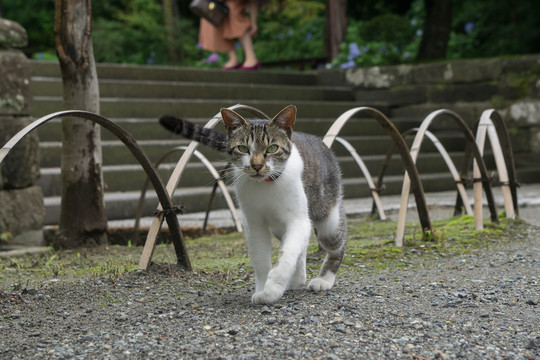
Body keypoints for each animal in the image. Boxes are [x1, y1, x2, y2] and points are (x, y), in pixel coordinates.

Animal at [158, 105, 348, 304]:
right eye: (243, 148)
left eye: (272, 148)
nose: (256, 165)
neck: (264, 185)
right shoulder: (254, 223)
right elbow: (261, 257)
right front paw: (262, 289)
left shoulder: (298, 220)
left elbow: (287, 254)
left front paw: (273, 288)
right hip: (280, 228)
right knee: (301, 245)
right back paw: (297, 278)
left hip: (328, 216)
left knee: (336, 243)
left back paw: (324, 279)